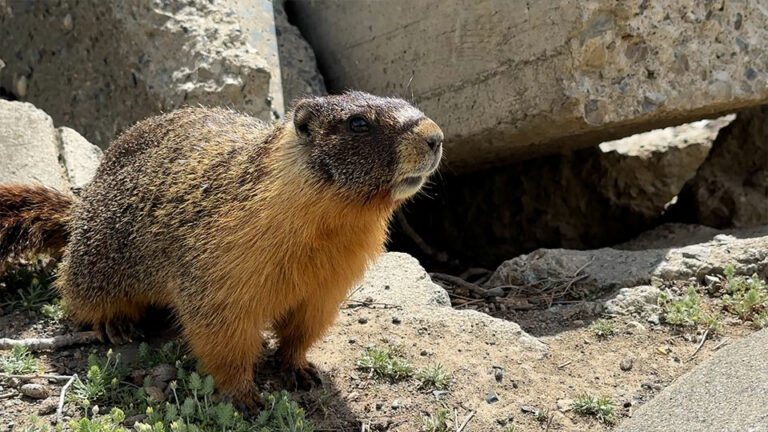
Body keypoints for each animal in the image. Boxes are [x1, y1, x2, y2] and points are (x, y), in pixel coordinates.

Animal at [0, 91, 443, 409]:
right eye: (358, 123)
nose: (436, 135)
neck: (336, 223)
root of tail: (80, 206)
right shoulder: (225, 258)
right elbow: (223, 328)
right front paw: (244, 396)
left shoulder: (332, 279)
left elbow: (308, 320)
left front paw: (298, 367)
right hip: (97, 258)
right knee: (78, 294)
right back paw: (114, 323)